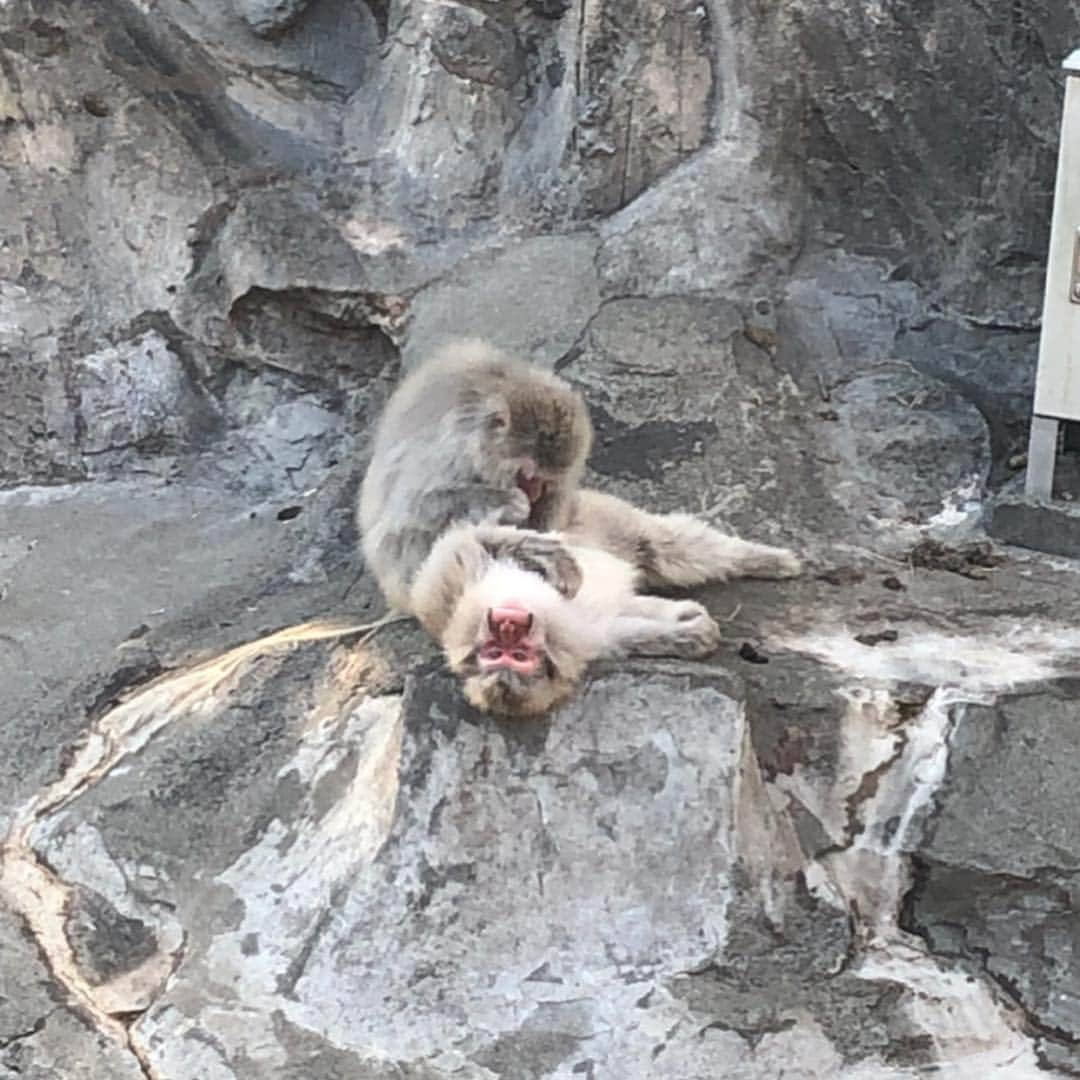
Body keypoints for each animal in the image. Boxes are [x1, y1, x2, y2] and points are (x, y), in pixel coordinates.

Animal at [362, 341, 803, 717]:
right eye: (502, 654)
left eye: (513, 650)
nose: (507, 626)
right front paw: (687, 633)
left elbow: (470, 538)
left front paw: (543, 547)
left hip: (601, 516)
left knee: (665, 545)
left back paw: (766, 559)